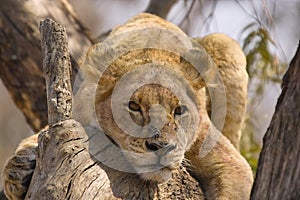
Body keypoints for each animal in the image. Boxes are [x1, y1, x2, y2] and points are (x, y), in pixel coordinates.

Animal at [1, 13, 253, 199]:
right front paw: (17, 171)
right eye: (133, 106)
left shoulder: (230, 164)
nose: (161, 147)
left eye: (179, 110)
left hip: (225, 44)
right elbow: (40, 135)